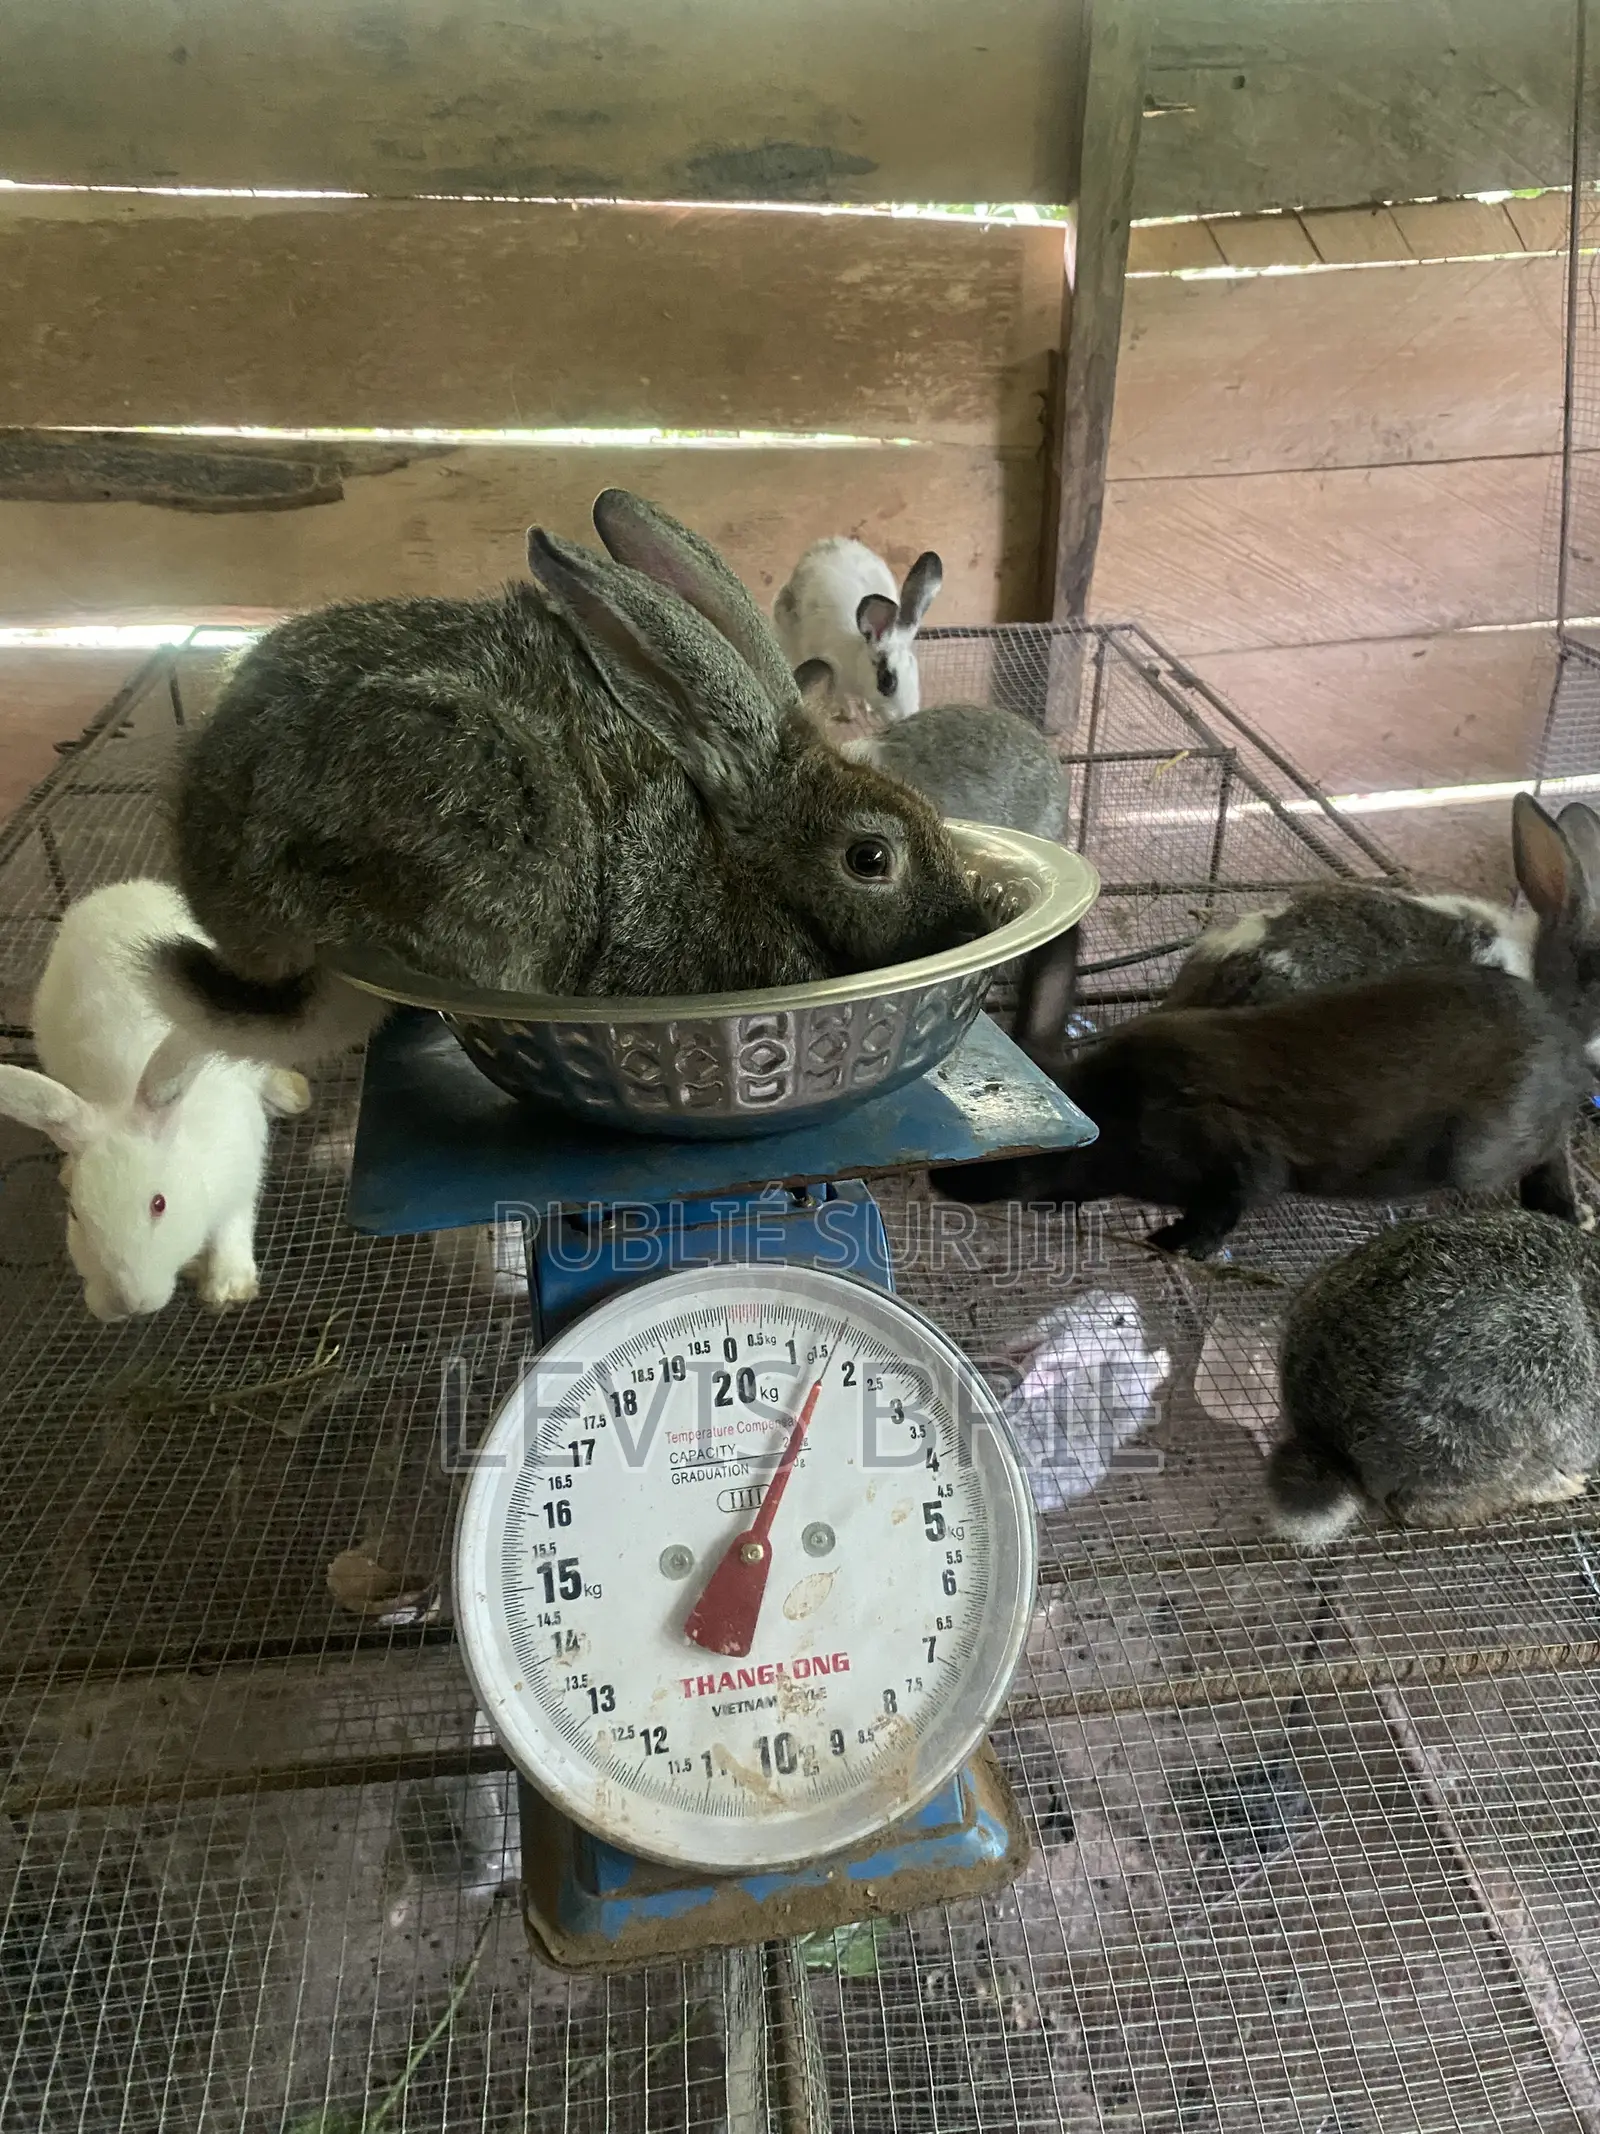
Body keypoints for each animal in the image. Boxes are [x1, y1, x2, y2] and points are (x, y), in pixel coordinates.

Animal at [0, 879, 310, 1321]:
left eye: (158, 1204)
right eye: (75, 1213)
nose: (128, 1304)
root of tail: (123, 887)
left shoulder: (241, 1173)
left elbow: (232, 1227)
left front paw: (227, 1289)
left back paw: (289, 1092)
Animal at [772, 537, 942, 724]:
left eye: (915, 673)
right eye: (887, 681)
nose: (905, 716)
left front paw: (866, 708)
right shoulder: (835, 676)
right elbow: (843, 698)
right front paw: (850, 713)